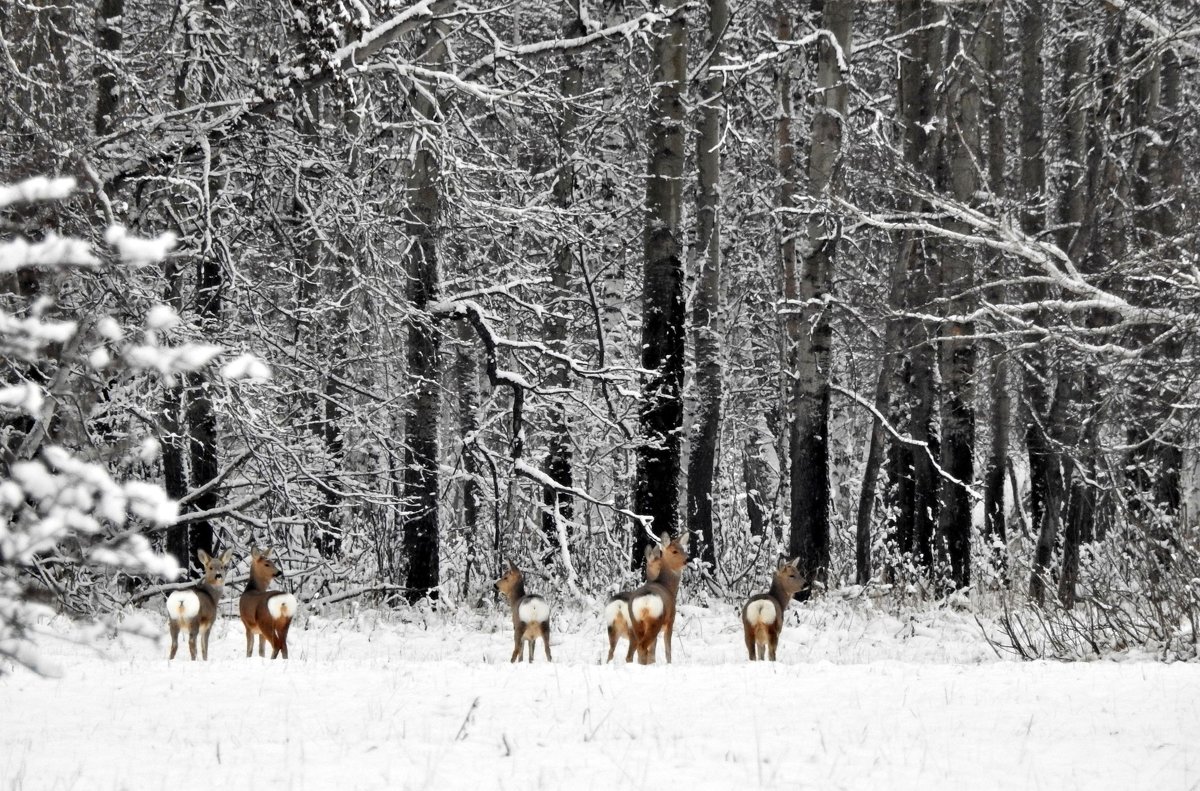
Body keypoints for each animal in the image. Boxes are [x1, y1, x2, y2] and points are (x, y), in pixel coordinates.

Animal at [624, 528, 691, 667]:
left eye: (683, 549)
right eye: (674, 551)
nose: (688, 559)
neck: (667, 586)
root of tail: (644, 601)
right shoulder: (671, 620)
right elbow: (668, 649)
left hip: (636, 620)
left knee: (639, 649)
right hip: (656, 619)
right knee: (643, 646)